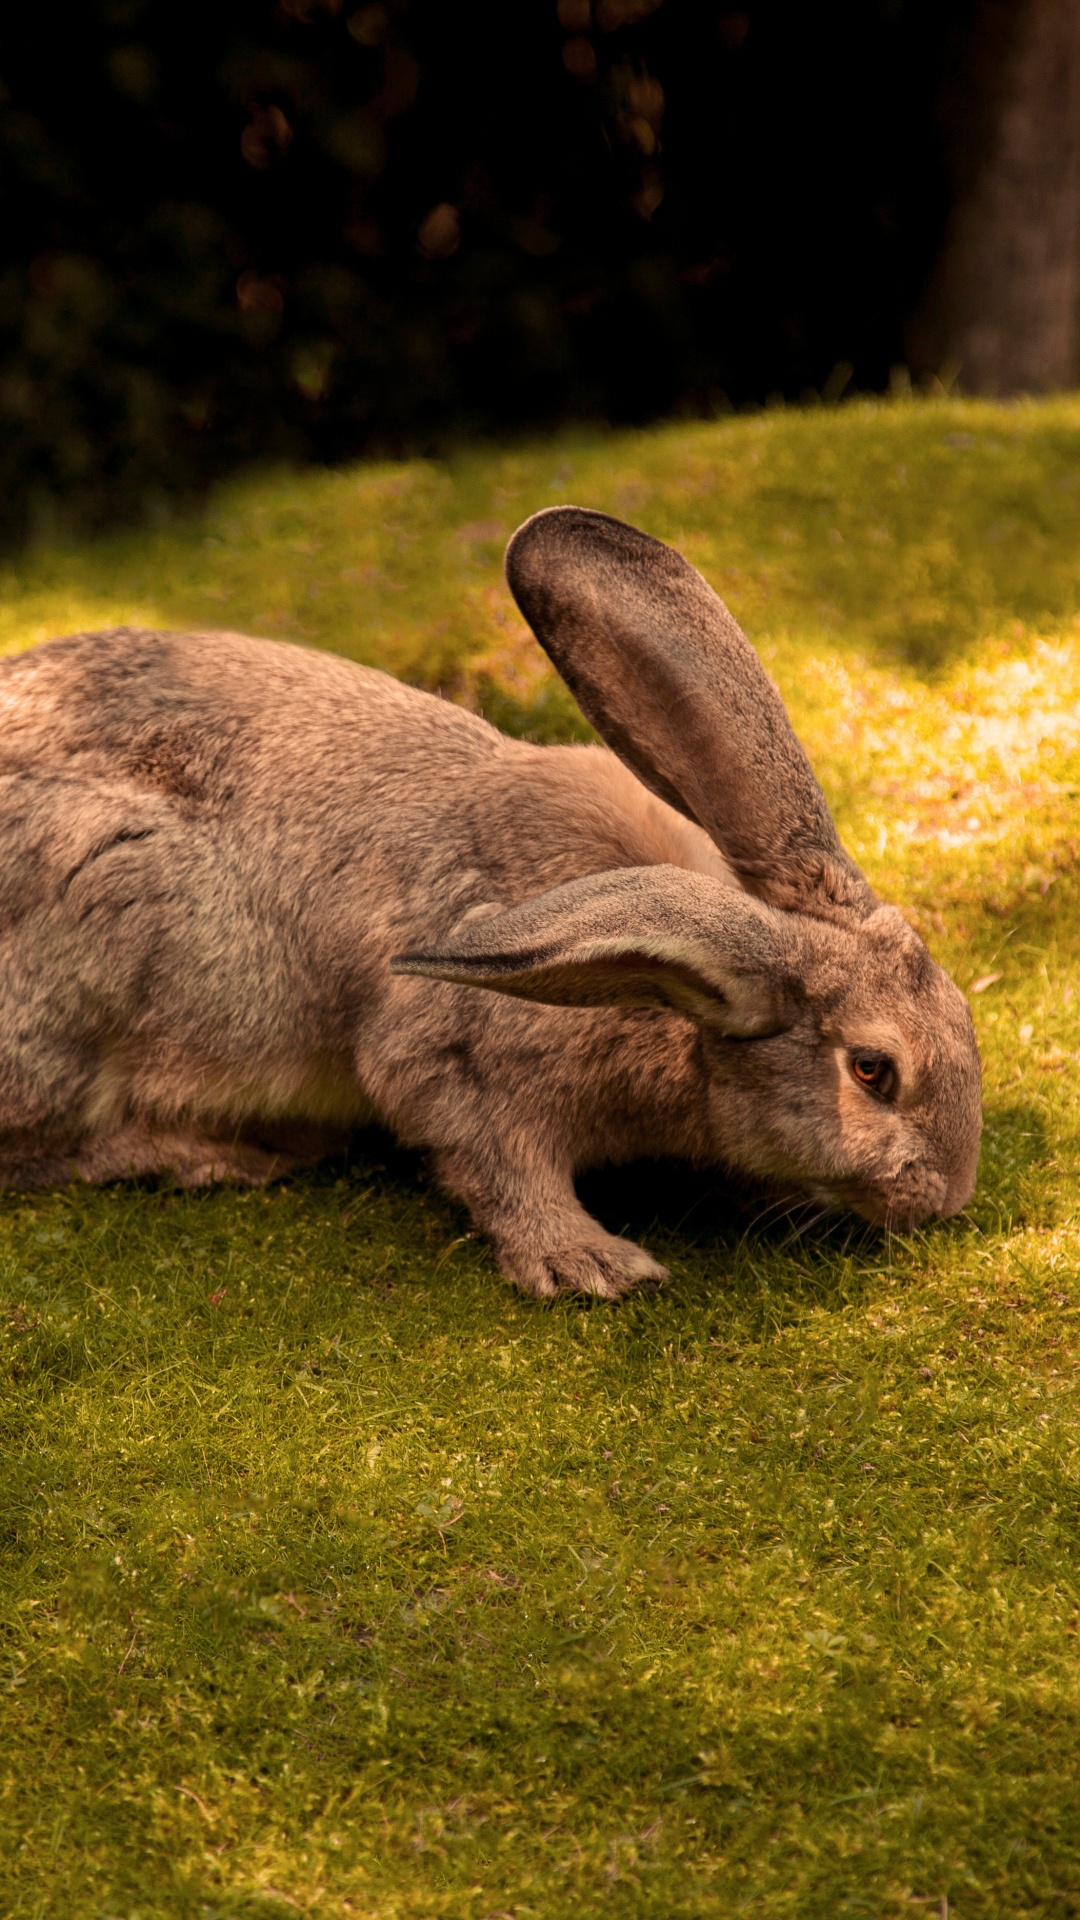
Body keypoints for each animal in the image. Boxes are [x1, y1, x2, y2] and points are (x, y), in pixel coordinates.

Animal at [0, 506, 981, 1297]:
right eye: (873, 1070)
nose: (947, 1197)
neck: (667, 983)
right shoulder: (460, 1062)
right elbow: (499, 1166)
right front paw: (591, 1265)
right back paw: (227, 1155)